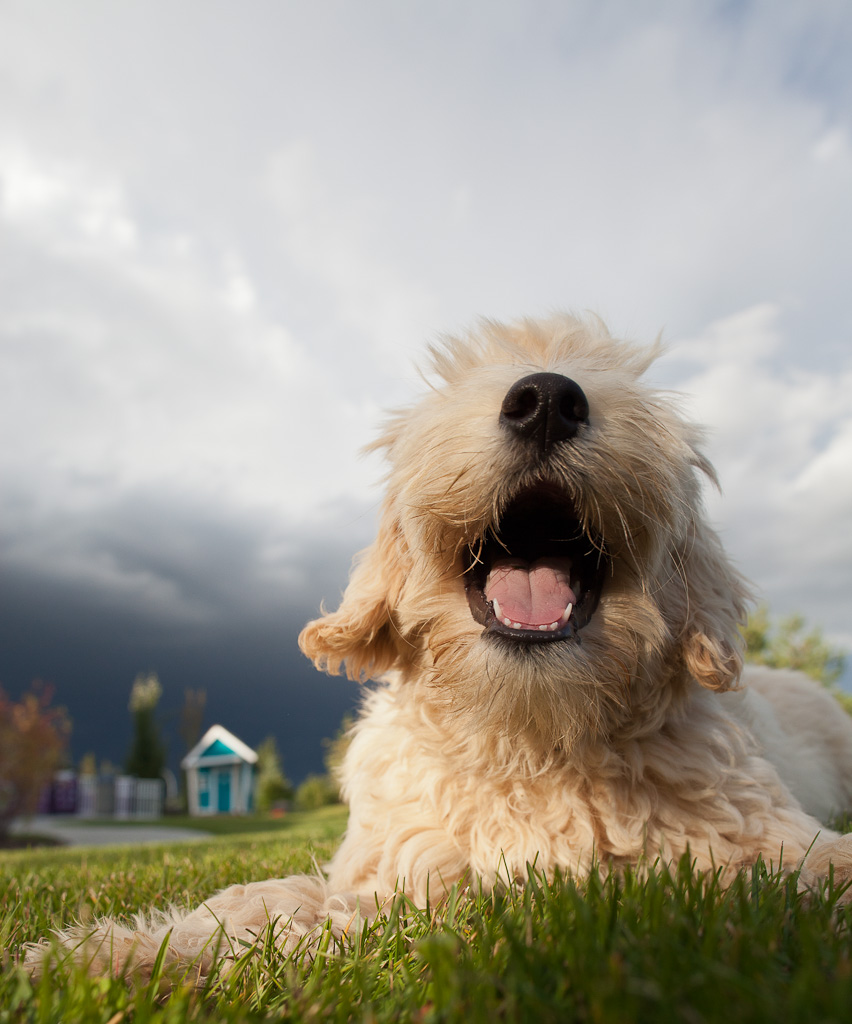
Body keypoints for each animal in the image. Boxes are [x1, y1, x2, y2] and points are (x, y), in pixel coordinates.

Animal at [33, 311, 852, 974]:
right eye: (464, 373)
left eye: (616, 371)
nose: (546, 399)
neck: (530, 734)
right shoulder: (396, 864)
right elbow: (273, 903)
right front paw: (113, 954)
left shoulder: (774, 851)